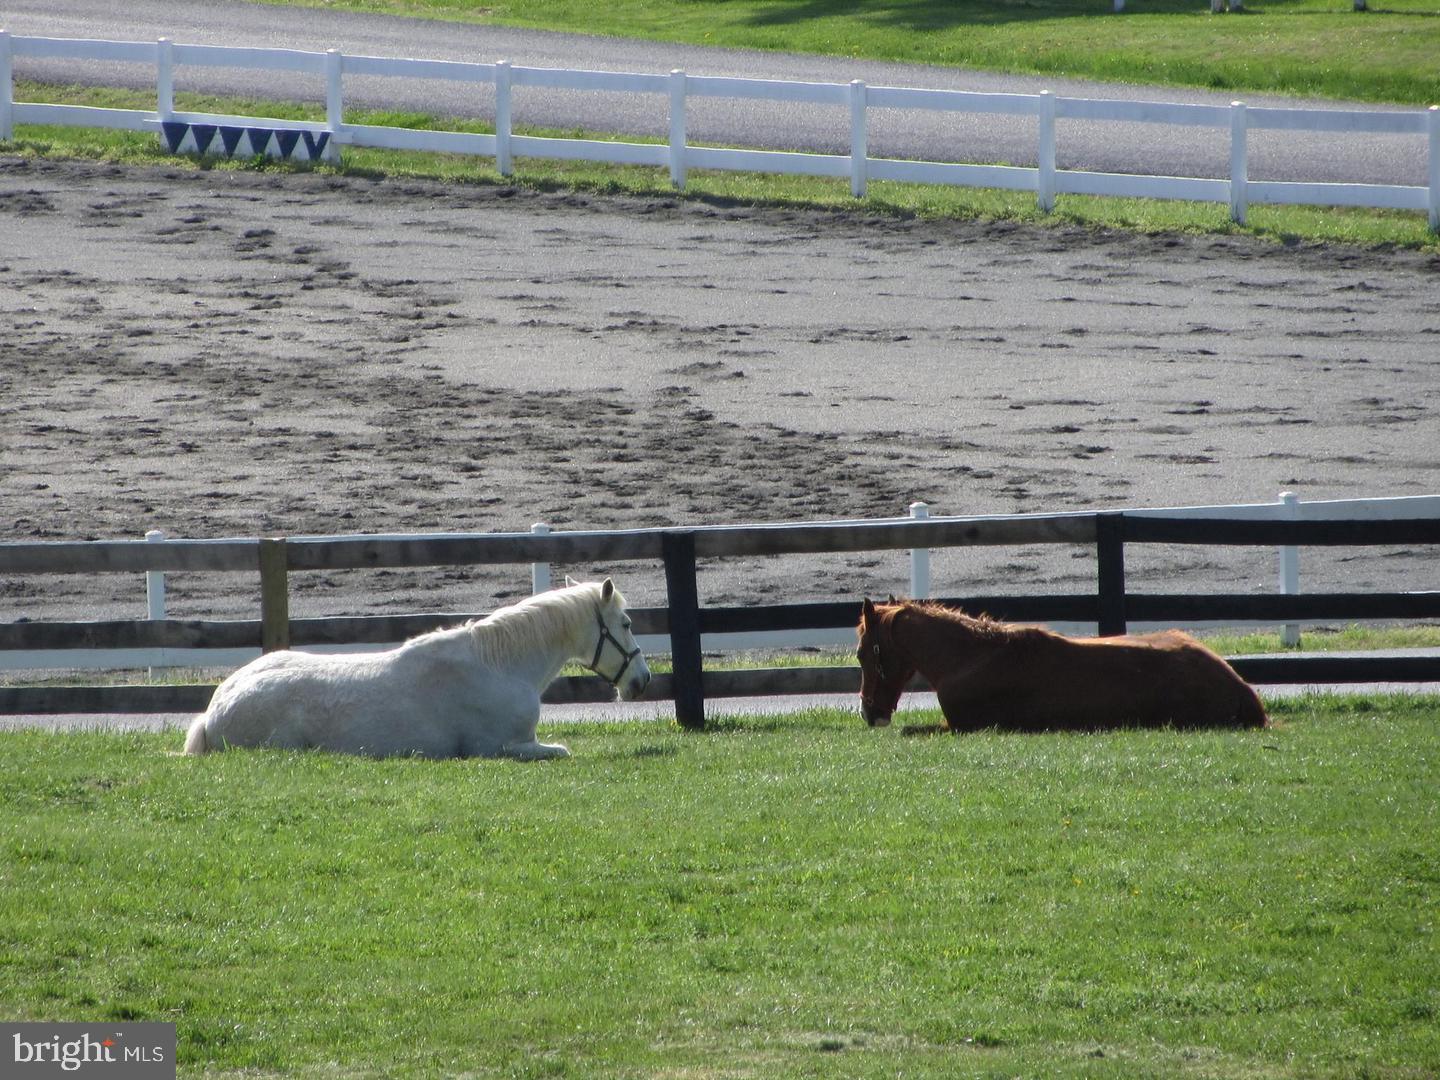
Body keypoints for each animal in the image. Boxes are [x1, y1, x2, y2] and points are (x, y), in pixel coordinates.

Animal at [184, 578, 650, 760]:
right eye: (626, 624)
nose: (642, 681)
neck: (499, 667)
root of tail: (214, 710)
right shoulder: (498, 748)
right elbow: (563, 750)